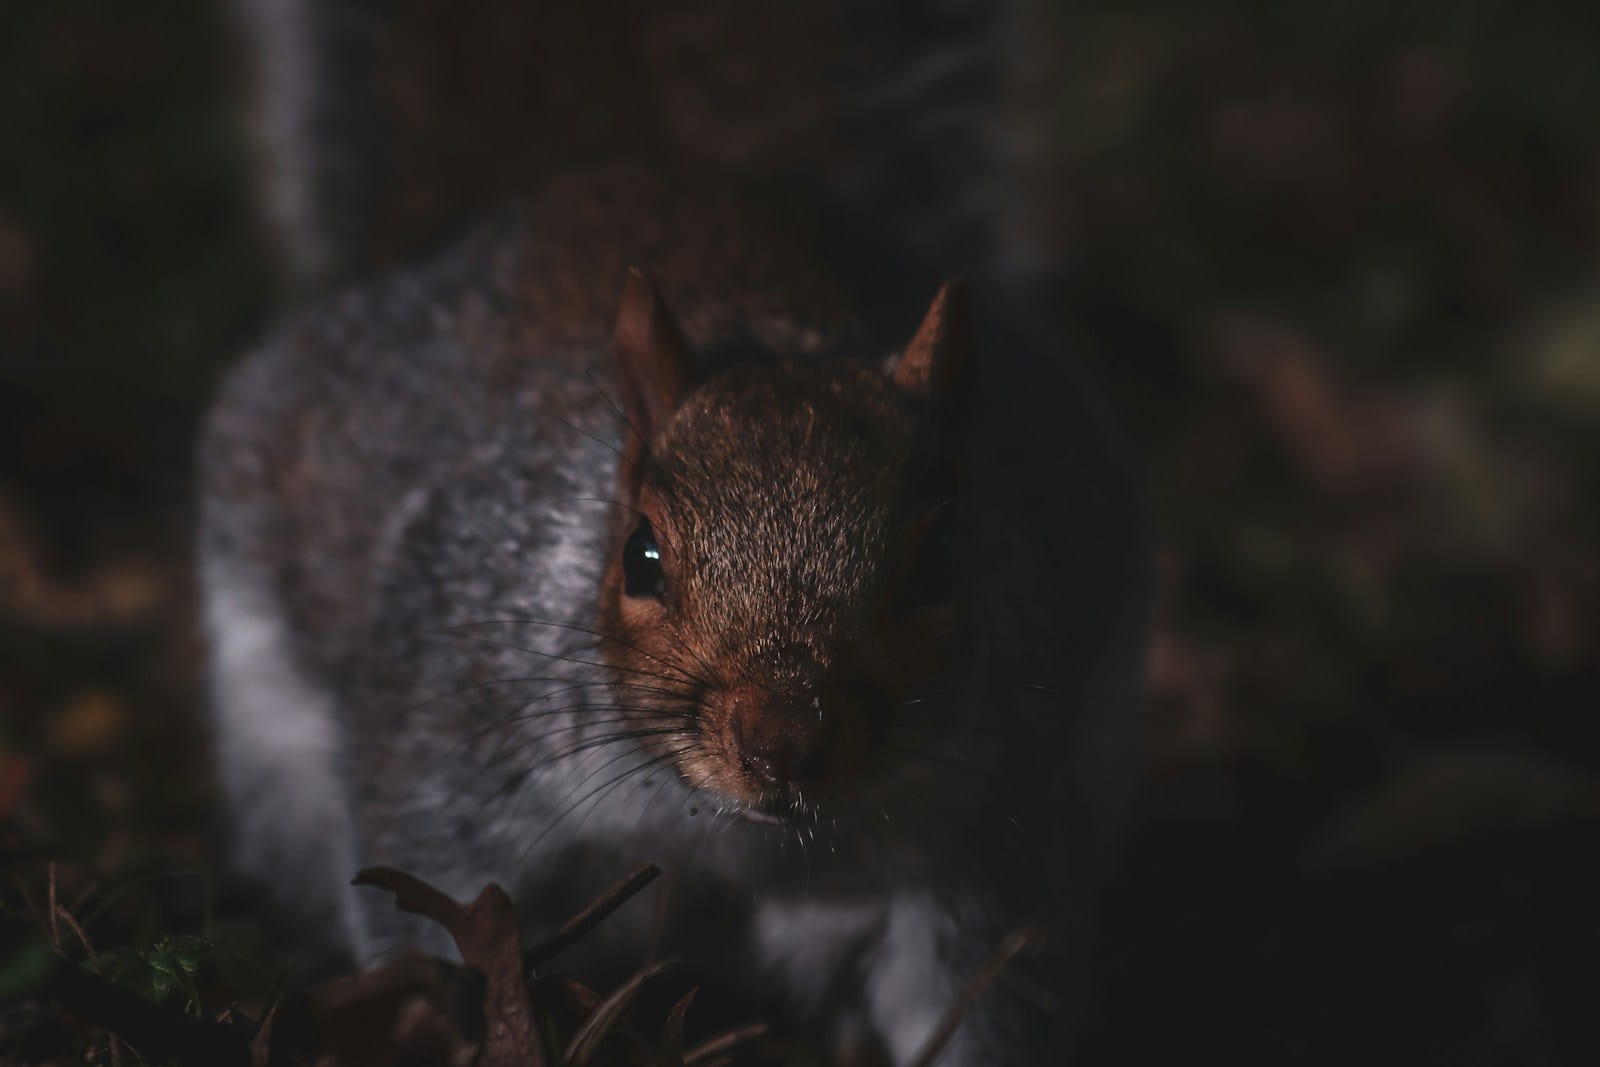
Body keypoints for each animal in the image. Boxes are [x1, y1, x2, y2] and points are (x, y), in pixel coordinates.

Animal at [203, 3, 1151, 1063]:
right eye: (641, 556)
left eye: (940, 566)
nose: (783, 740)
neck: (735, 827)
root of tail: (629, 163)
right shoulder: (454, 727)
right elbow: (424, 881)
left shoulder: (987, 835)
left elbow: (981, 998)